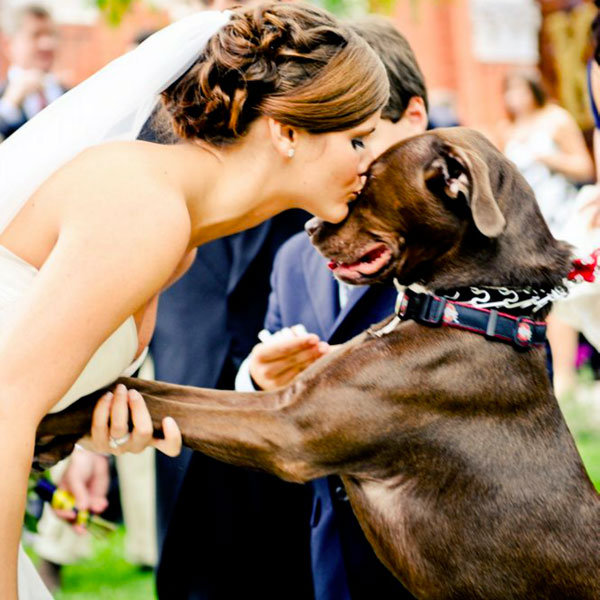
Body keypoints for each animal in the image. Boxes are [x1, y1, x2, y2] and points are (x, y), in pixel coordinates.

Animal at [37, 127, 600, 600]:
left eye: (368, 179)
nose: (308, 224)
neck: (471, 308)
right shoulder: (287, 399)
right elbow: (157, 391)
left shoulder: (289, 427)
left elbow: (169, 401)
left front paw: (50, 421)